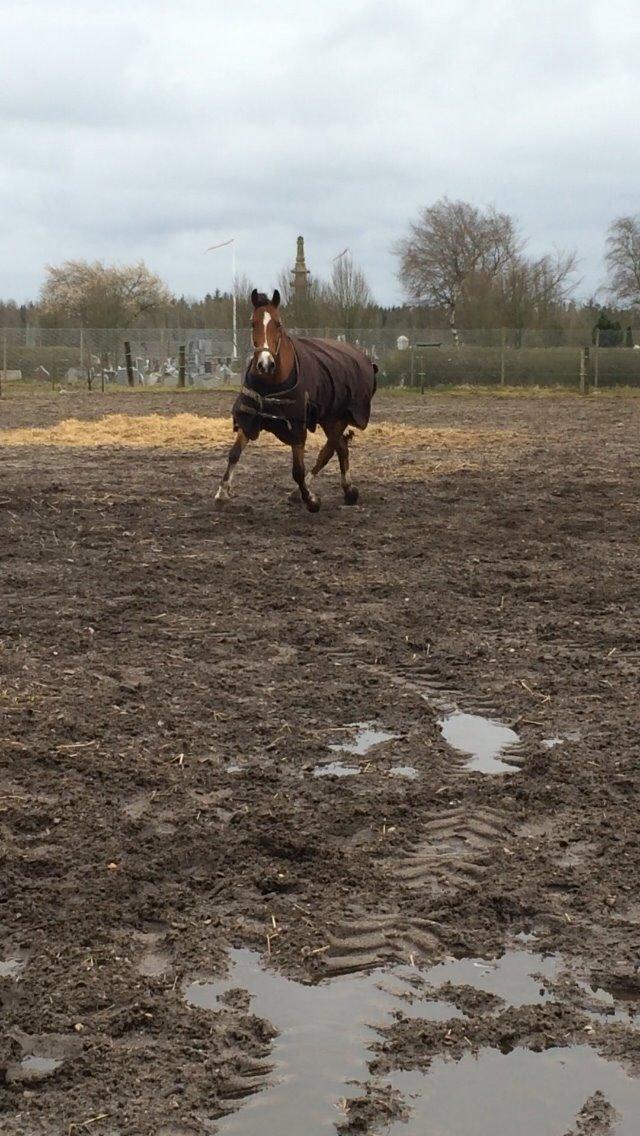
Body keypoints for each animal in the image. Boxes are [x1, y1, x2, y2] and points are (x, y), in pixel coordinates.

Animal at [212, 290, 377, 513]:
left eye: (278, 323)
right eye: (253, 323)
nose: (265, 364)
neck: (271, 384)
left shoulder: (297, 427)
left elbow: (297, 470)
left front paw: (312, 500)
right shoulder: (249, 419)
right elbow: (234, 454)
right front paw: (222, 492)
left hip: (336, 418)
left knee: (330, 450)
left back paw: (324, 491)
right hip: (329, 419)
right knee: (339, 447)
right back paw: (344, 490)